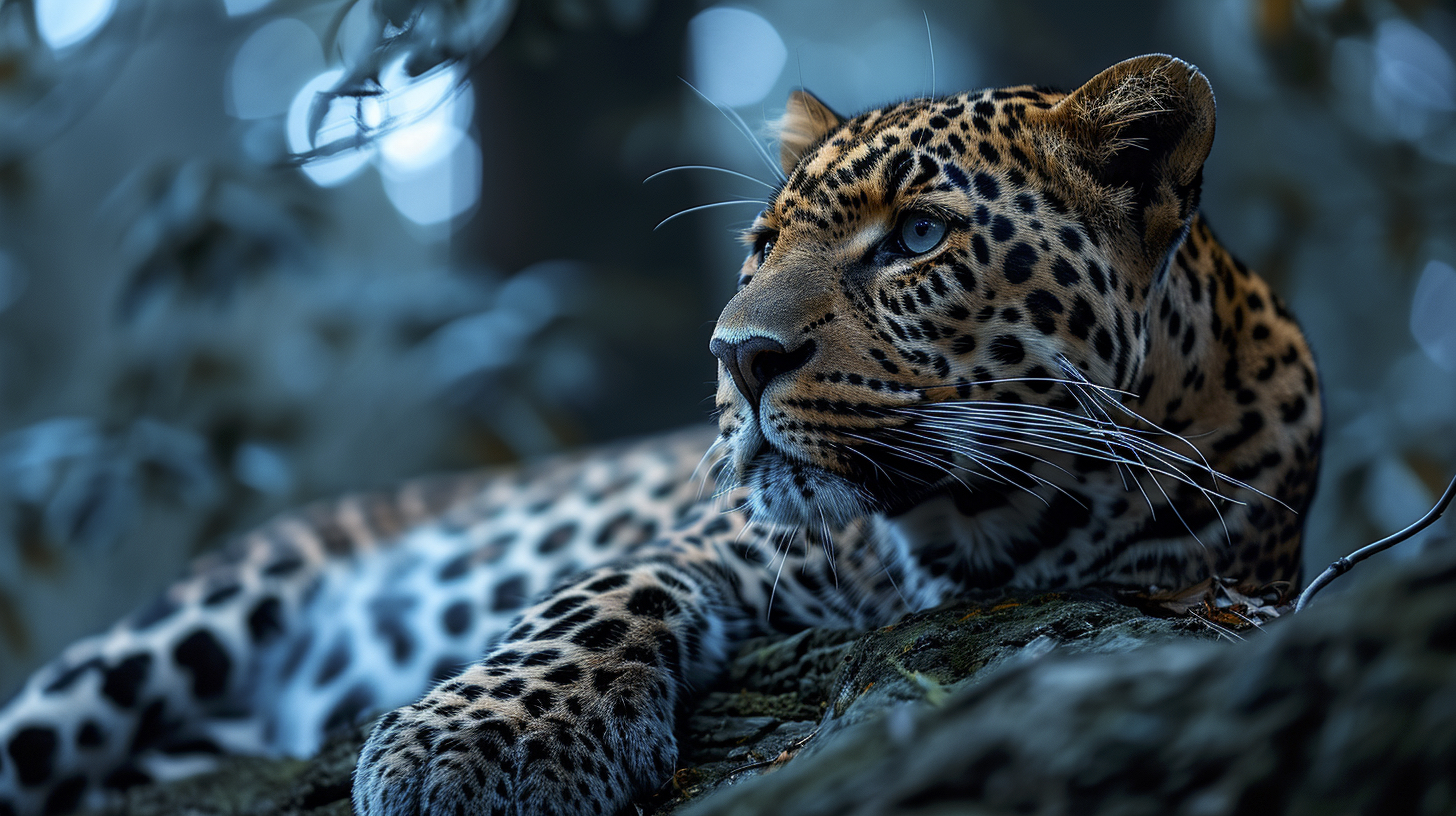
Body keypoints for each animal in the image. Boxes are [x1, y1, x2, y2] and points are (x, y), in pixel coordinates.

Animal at [0, 55, 1321, 816]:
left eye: (916, 238)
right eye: (759, 246)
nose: (737, 357)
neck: (1003, 525)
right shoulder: (717, 542)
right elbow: (602, 588)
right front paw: (478, 739)